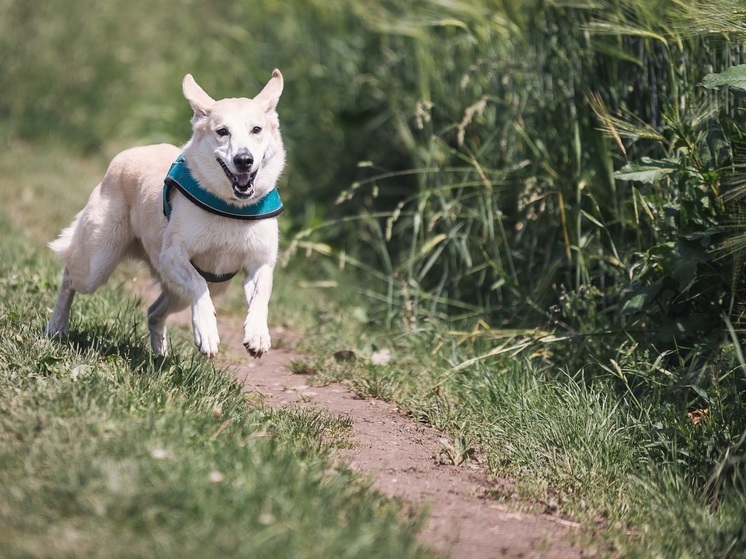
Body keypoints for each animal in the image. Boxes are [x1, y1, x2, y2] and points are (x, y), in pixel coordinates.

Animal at [45, 71, 286, 358]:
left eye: (256, 130)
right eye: (222, 132)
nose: (244, 160)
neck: (231, 208)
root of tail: (127, 154)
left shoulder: (259, 263)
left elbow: (262, 295)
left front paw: (258, 334)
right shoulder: (173, 256)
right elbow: (198, 284)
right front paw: (207, 331)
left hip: (183, 291)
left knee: (154, 312)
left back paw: (159, 355)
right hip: (96, 265)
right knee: (69, 277)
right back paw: (56, 326)